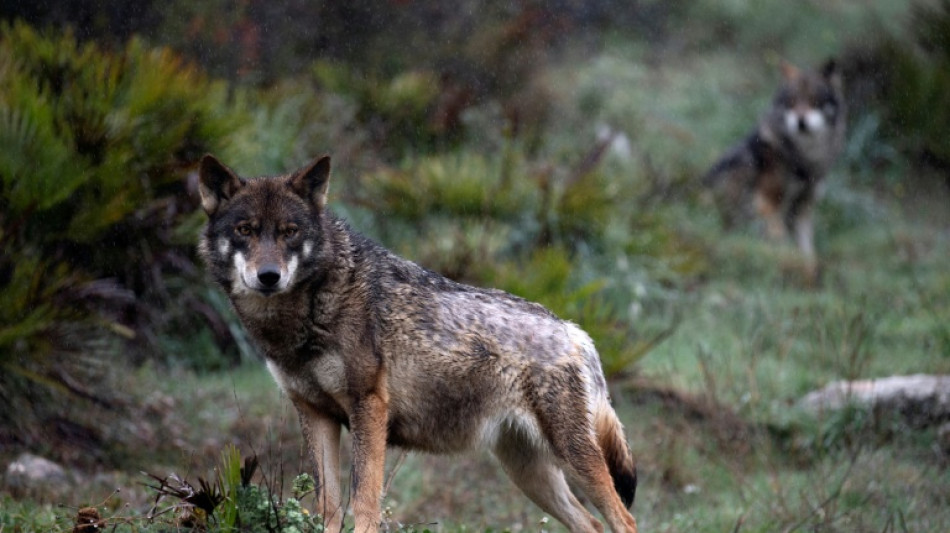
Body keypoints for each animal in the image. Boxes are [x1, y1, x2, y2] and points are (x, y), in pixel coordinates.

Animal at [197, 154, 639, 533]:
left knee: (623, 519)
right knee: (592, 523)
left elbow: (364, 502)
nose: (269, 276)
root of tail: (575, 331)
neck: (307, 311)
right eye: (245, 230)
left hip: (573, 457)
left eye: (289, 233)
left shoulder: (368, 407)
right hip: (529, 473)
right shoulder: (314, 413)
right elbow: (329, 508)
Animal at [702, 59, 845, 280]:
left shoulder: (803, 208)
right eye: (792, 102)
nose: (801, 122)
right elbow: (781, 239)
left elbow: (807, 249)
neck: (805, 158)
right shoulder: (768, 202)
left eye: (814, 101)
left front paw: (809, 271)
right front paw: (787, 263)